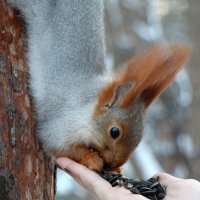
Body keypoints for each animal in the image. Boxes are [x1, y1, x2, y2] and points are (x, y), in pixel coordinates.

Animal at [6, 0, 191, 172]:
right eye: (114, 132)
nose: (113, 164)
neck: (87, 108)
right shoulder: (61, 124)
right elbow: (57, 145)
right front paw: (91, 159)